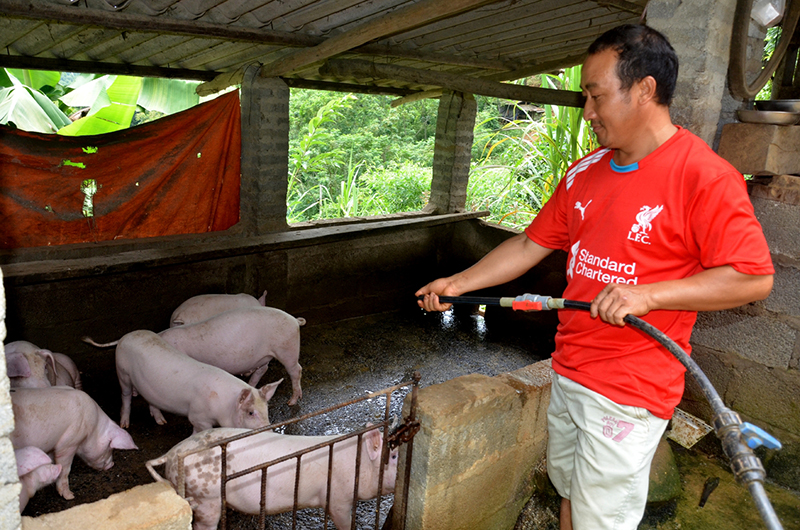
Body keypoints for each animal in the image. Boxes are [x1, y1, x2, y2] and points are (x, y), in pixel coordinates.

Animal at [84, 304, 304, 402]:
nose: (136, 391)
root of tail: (295, 320)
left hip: (287, 348)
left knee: (296, 370)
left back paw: (293, 401)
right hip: (266, 355)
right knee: (262, 369)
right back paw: (250, 383)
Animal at [112, 330, 282, 434]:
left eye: (267, 409)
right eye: (251, 412)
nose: (269, 431)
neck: (224, 405)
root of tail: (127, 335)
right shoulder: (197, 416)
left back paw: (162, 422)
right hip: (122, 372)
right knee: (125, 396)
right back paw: (124, 424)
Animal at [146, 424, 396, 528]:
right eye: (393, 456)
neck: (359, 462)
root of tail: (171, 454)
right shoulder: (337, 498)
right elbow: (344, 520)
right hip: (207, 498)